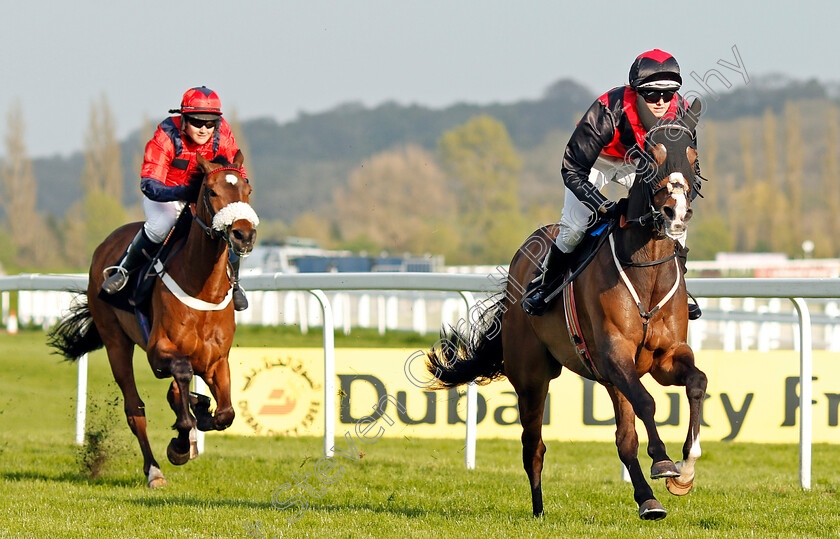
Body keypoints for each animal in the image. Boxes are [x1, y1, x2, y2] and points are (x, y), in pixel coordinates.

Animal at [48, 152, 258, 490]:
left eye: (247, 190)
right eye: (212, 191)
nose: (244, 234)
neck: (203, 287)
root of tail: (105, 244)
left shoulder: (217, 360)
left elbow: (225, 413)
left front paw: (201, 410)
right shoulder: (157, 350)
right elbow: (182, 378)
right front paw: (180, 444)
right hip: (115, 341)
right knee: (135, 409)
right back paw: (154, 470)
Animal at [426, 99, 708, 520]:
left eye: (692, 157)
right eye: (649, 157)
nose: (676, 213)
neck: (647, 272)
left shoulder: (664, 357)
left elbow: (696, 383)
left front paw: (686, 469)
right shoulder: (615, 355)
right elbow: (647, 401)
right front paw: (663, 460)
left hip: (606, 379)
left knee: (623, 438)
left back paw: (647, 500)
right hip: (532, 375)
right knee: (534, 445)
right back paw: (539, 509)